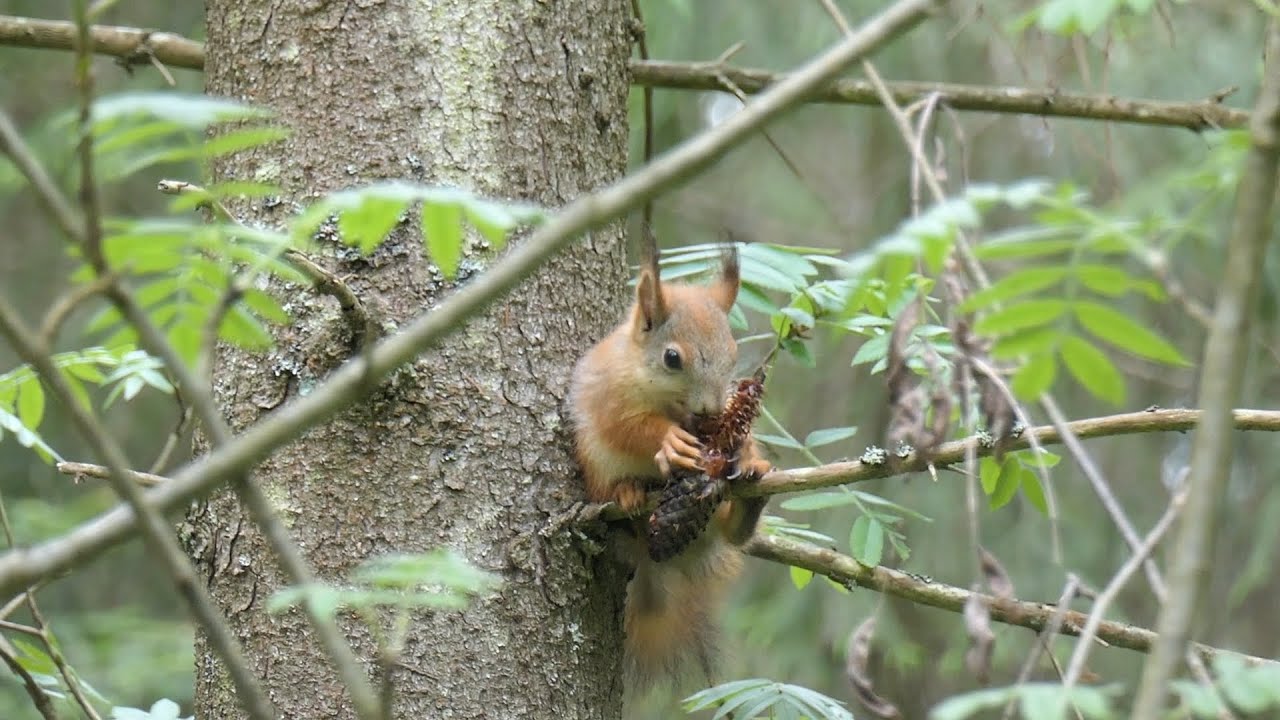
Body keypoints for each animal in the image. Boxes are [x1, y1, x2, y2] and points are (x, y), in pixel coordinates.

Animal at [568, 244, 771, 694]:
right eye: (672, 358)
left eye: (733, 353)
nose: (710, 410)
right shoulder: (608, 397)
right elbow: (627, 428)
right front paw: (667, 441)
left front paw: (745, 451)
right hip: (596, 468)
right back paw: (628, 493)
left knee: (732, 535)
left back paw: (752, 494)